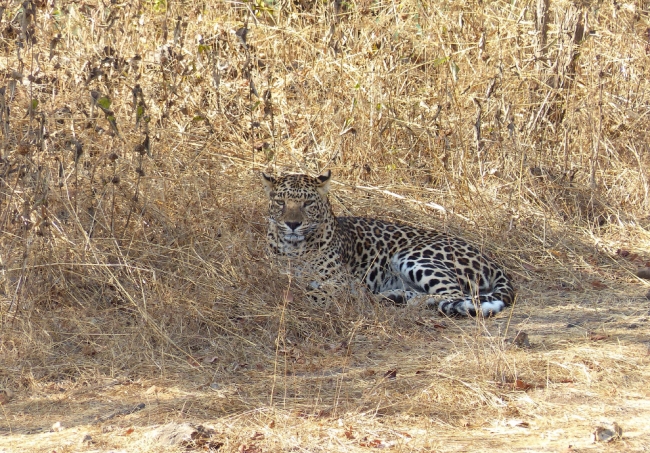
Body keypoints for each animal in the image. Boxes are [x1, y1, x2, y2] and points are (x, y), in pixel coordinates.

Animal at [260, 171, 512, 316]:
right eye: (281, 202)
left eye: (308, 203)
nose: (293, 224)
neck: (295, 250)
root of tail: (490, 261)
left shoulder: (341, 283)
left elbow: (311, 294)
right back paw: (392, 297)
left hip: (413, 256)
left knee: (454, 293)